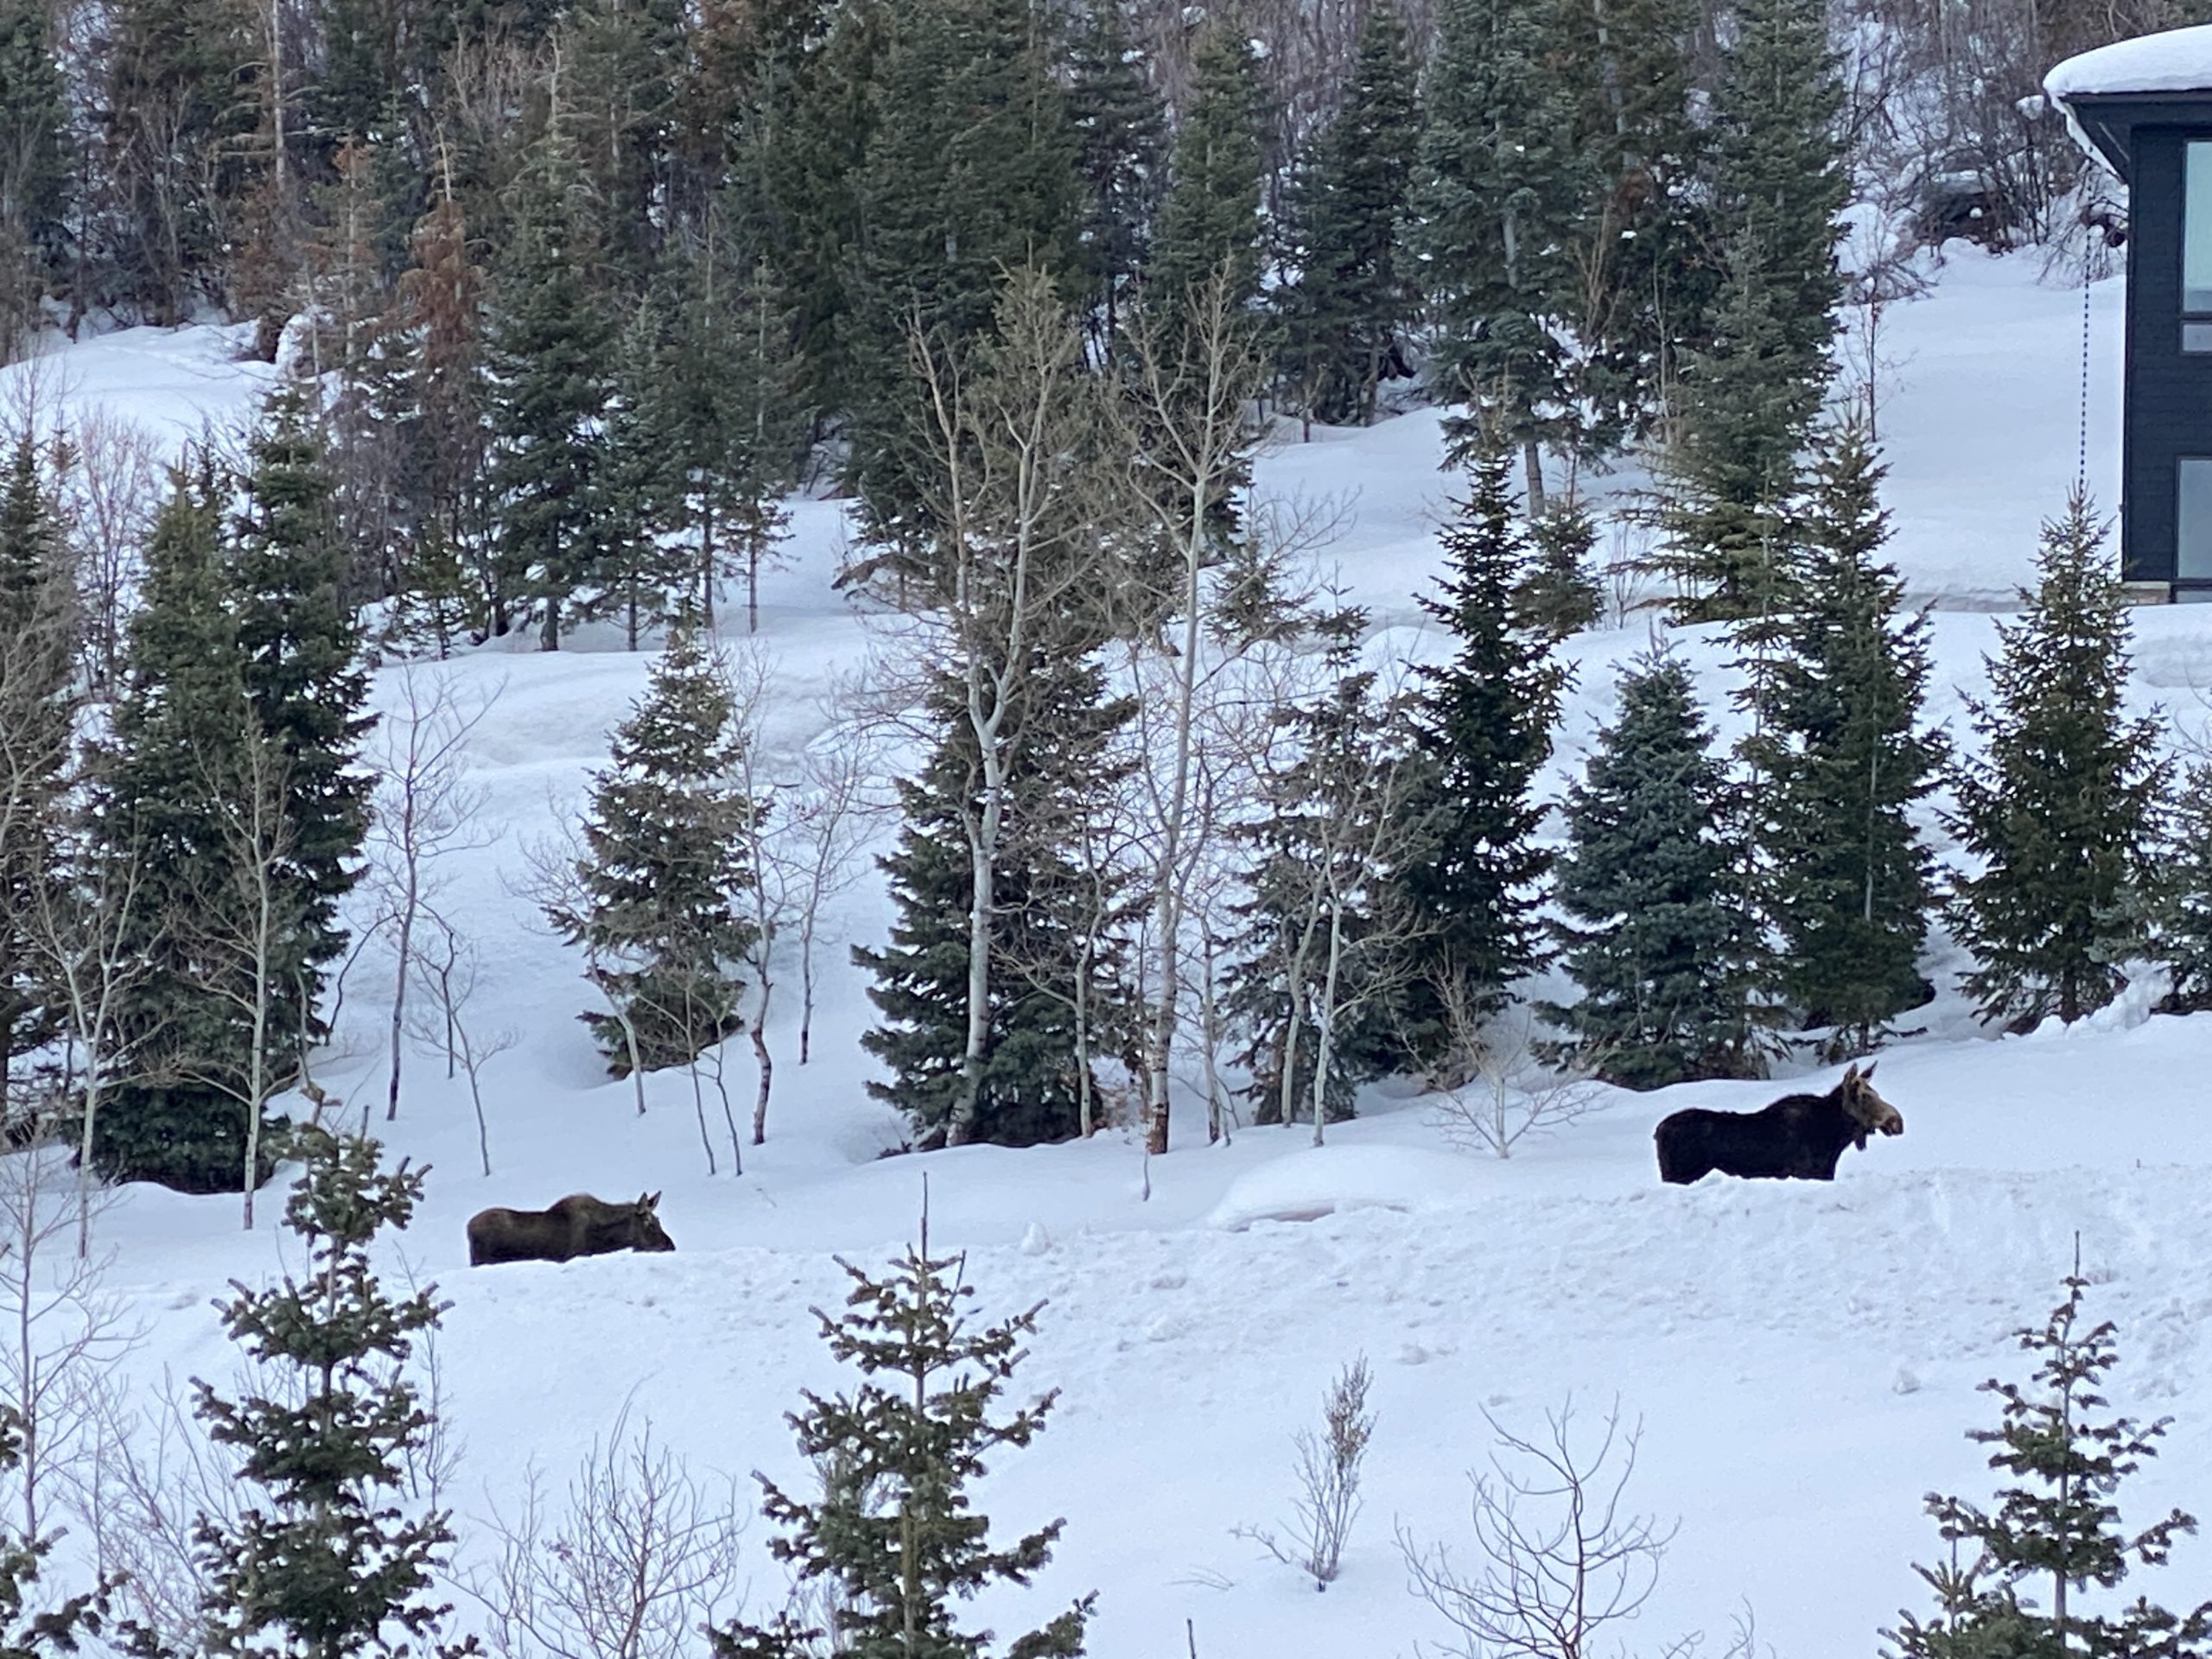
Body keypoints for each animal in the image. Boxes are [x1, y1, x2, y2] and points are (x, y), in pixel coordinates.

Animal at [1654, 1065, 1910, 1185]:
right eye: (1864, 1096)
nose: (1897, 1121)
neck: (1834, 1138)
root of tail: (1657, 1132)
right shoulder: (1806, 1174)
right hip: (1679, 1175)